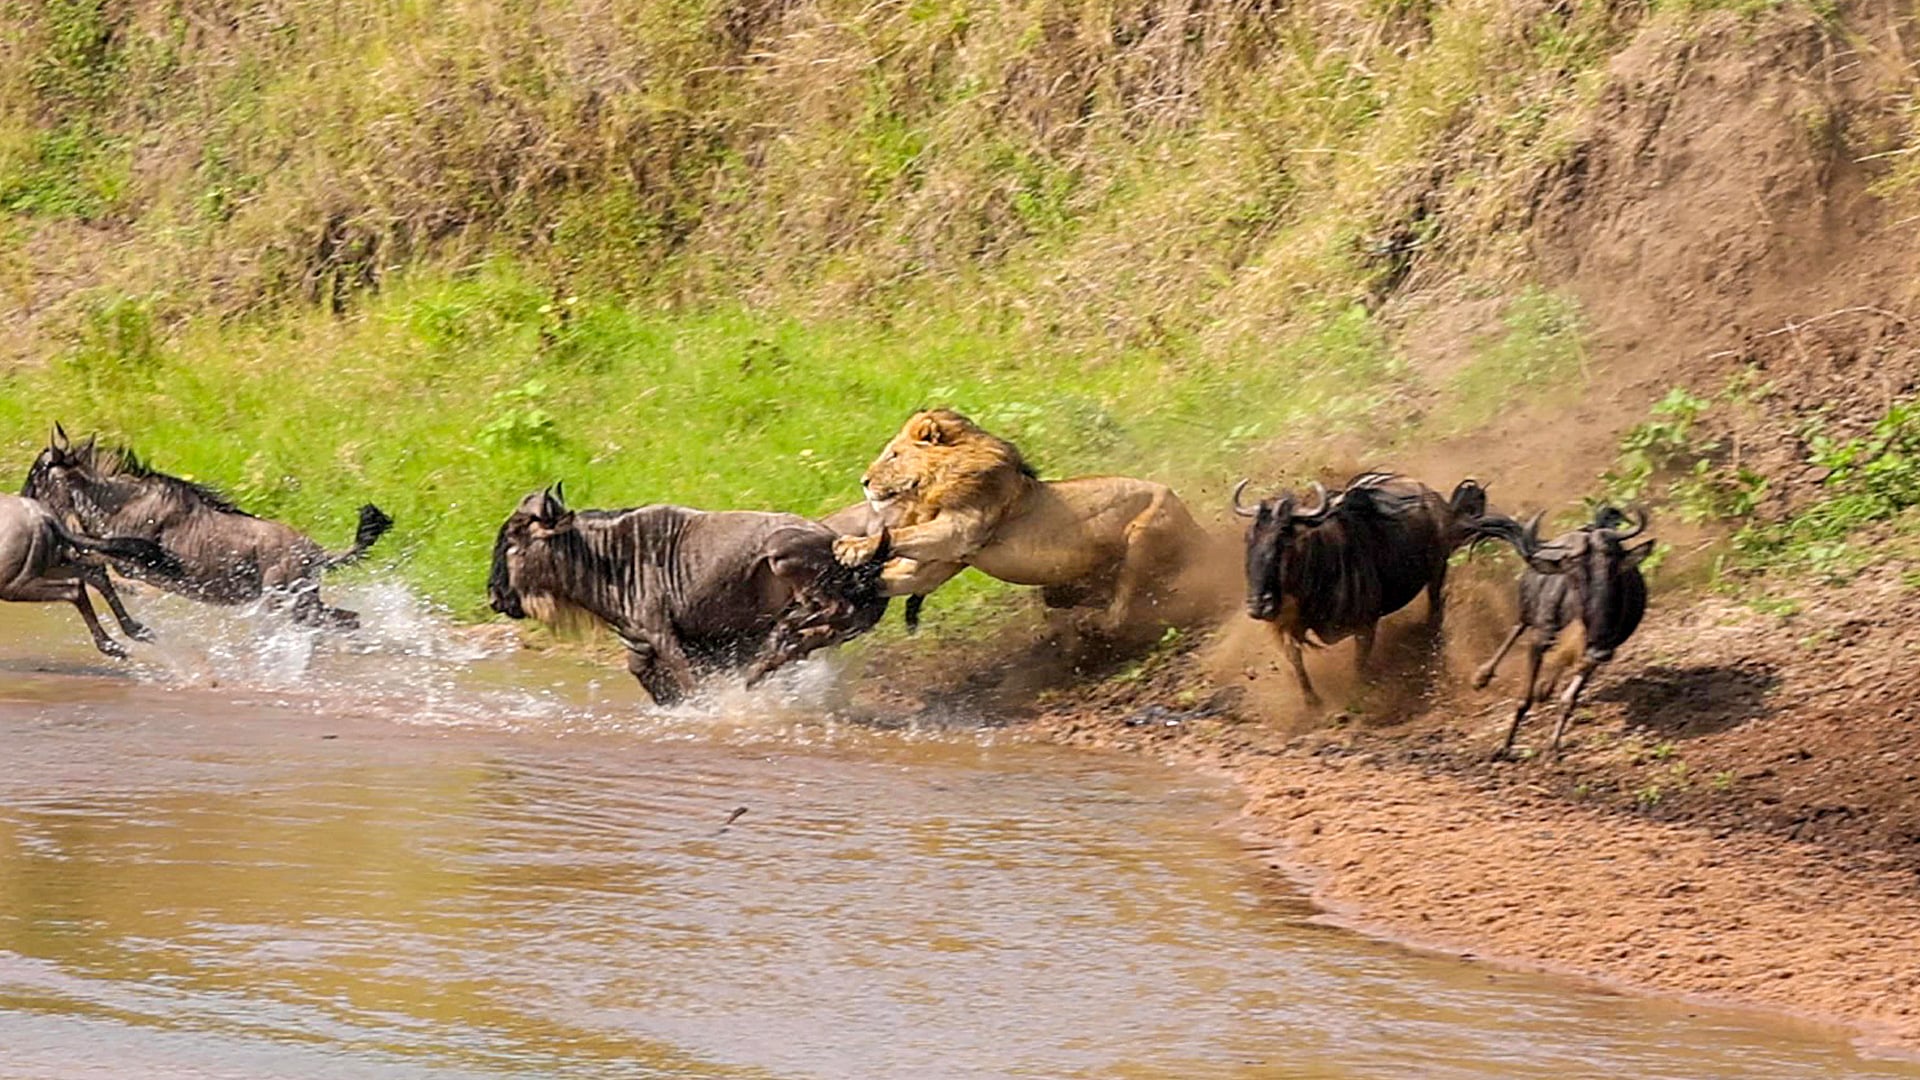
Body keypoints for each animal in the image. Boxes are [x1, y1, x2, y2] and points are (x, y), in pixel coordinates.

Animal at [831, 409, 1215, 634]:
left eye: (893, 455)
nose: (864, 481)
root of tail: (1198, 527)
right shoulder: (941, 562)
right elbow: (901, 571)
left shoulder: (961, 529)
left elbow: (900, 531)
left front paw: (852, 547)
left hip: (1144, 535)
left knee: (1122, 608)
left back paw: (1089, 622)